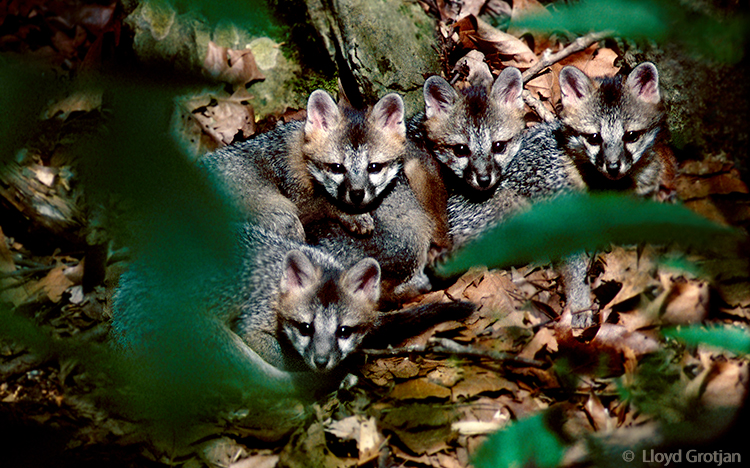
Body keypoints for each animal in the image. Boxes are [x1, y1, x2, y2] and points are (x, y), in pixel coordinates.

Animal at [198, 89, 407, 240]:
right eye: (337, 168)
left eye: (374, 167)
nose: (356, 195)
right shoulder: (296, 201)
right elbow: (325, 201)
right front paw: (352, 215)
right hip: (284, 216)